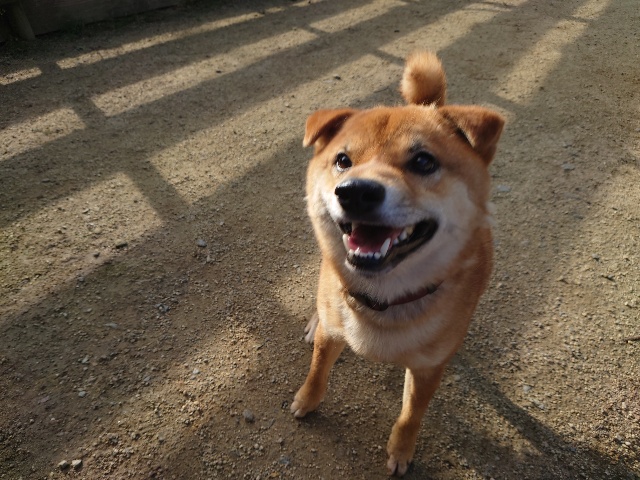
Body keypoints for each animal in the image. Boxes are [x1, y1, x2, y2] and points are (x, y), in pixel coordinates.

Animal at [291, 51, 504, 476]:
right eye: (343, 160)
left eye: (423, 161)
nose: (355, 191)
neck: (383, 300)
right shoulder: (333, 333)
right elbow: (318, 368)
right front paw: (307, 399)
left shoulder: (427, 369)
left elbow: (411, 414)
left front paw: (401, 449)